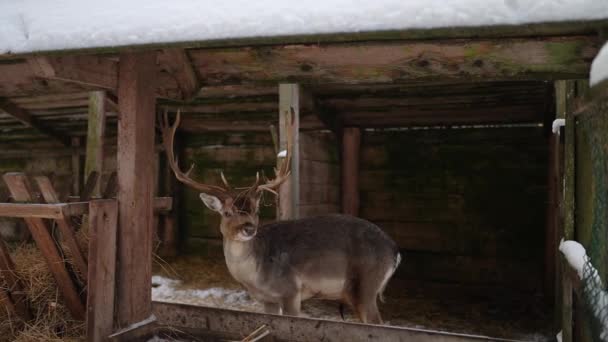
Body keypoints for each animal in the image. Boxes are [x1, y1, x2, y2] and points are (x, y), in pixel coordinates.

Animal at [159, 109, 402, 324]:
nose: (249, 228)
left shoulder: (291, 291)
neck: (256, 277)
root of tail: (394, 251)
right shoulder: (267, 299)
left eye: (256, 211)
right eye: (227, 213)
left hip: (365, 285)